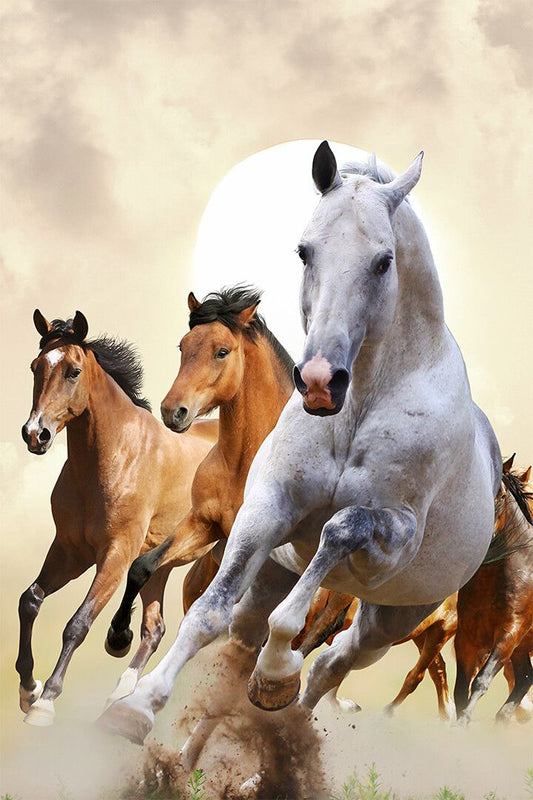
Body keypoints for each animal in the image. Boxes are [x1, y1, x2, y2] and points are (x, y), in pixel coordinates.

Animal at [16, 310, 217, 726]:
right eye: (35, 367)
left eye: (73, 371)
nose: (35, 434)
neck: (114, 457)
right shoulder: (70, 551)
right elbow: (30, 600)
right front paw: (29, 690)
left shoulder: (116, 555)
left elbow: (78, 623)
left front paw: (46, 701)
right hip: (163, 566)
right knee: (155, 627)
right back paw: (121, 694)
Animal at [103, 286, 296, 707]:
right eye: (183, 345)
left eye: (222, 351)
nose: (172, 411)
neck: (244, 462)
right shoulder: (203, 524)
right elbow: (142, 566)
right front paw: (117, 636)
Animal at [454, 458, 533, 724]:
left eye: (500, 496)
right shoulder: (467, 636)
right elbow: (461, 689)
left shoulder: (510, 633)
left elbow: (481, 680)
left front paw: (463, 722)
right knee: (525, 678)